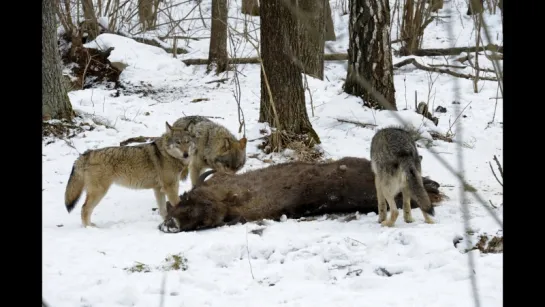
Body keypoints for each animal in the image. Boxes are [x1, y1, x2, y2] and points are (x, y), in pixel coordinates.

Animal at [64, 121, 193, 227]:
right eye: (178, 142)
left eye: (187, 142)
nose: (186, 154)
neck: (166, 154)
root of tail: (86, 153)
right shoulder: (170, 187)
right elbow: (177, 204)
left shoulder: (158, 189)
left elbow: (163, 210)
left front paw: (166, 222)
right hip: (99, 192)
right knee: (84, 209)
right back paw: (89, 228)